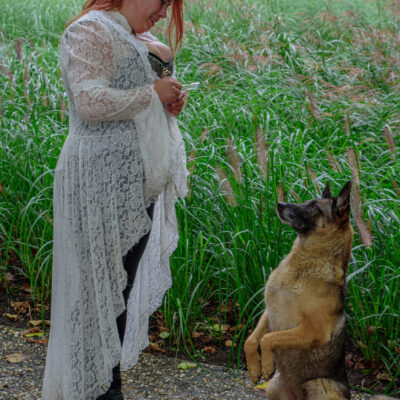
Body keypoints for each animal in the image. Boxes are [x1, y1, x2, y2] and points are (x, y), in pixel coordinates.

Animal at [245, 181, 354, 400]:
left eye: (314, 206)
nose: (279, 204)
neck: (304, 263)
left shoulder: (313, 332)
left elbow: (268, 338)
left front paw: (266, 365)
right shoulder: (269, 311)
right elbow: (251, 340)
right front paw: (254, 368)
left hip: (319, 385)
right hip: (274, 388)